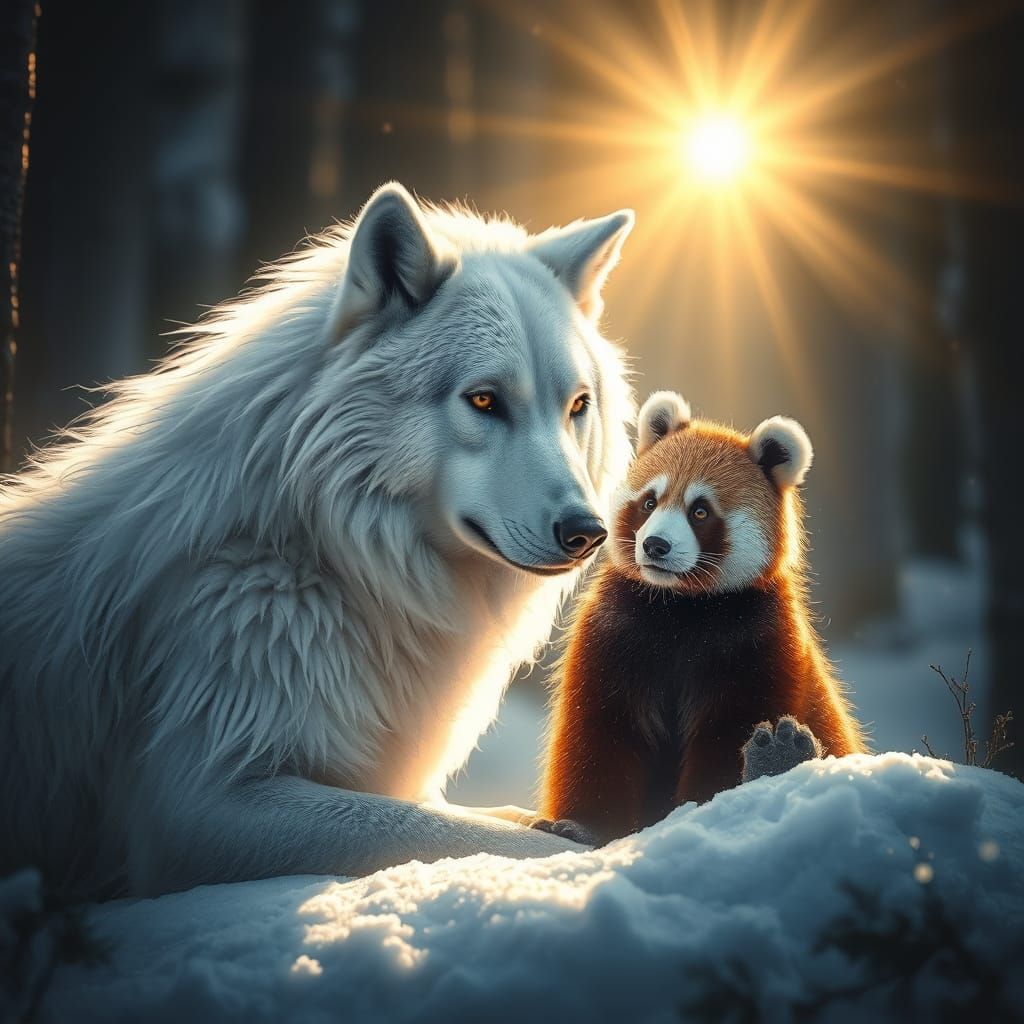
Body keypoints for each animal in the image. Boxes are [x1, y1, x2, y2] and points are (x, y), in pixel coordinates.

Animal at [0, 183, 635, 899]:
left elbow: (486, 818)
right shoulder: (196, 804)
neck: (325, 553)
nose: (588, 533)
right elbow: (459, 834)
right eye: (483, 400)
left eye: (577, 406)